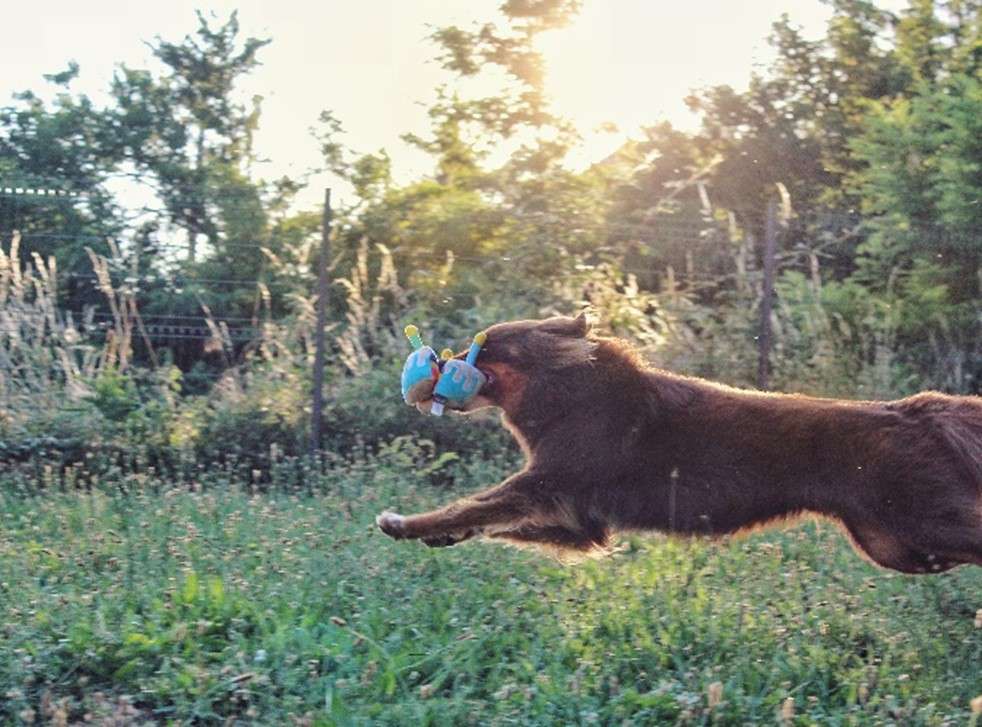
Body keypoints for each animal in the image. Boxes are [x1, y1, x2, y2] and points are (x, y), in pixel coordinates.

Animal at [376, 314, 982, 576]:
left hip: (923, 520)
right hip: (899, 546)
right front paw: (441, 536)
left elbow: (477, 503)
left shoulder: (549, 483)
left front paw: (404, 523)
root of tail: (914, 410)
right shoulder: (578, 521)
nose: (439, 361)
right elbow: (492, 520)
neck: (569, 390)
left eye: (484, 346)